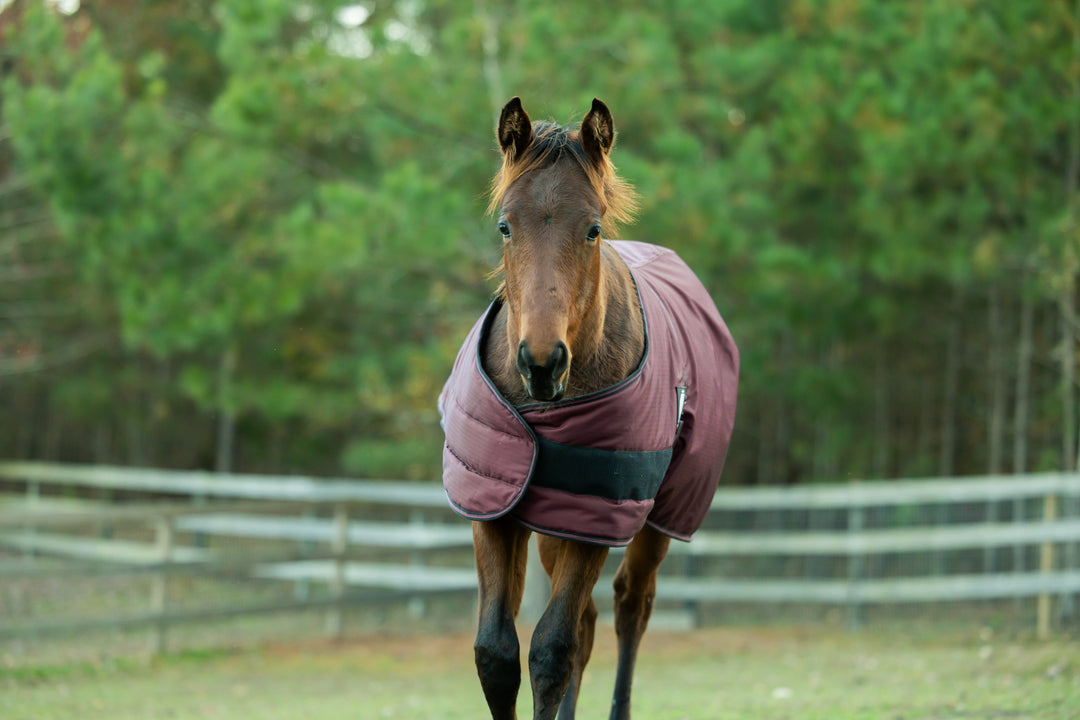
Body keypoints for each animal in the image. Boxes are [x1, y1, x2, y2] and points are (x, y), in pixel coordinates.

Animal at [438, 97, 739, 720]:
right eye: (505, 225)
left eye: (593, 229)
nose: (541, 362)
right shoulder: (496, 511)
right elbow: (496, 654)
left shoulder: (594, 518)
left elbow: (551, 649)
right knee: (590, 622)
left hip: (655, 519)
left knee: (629, 608)